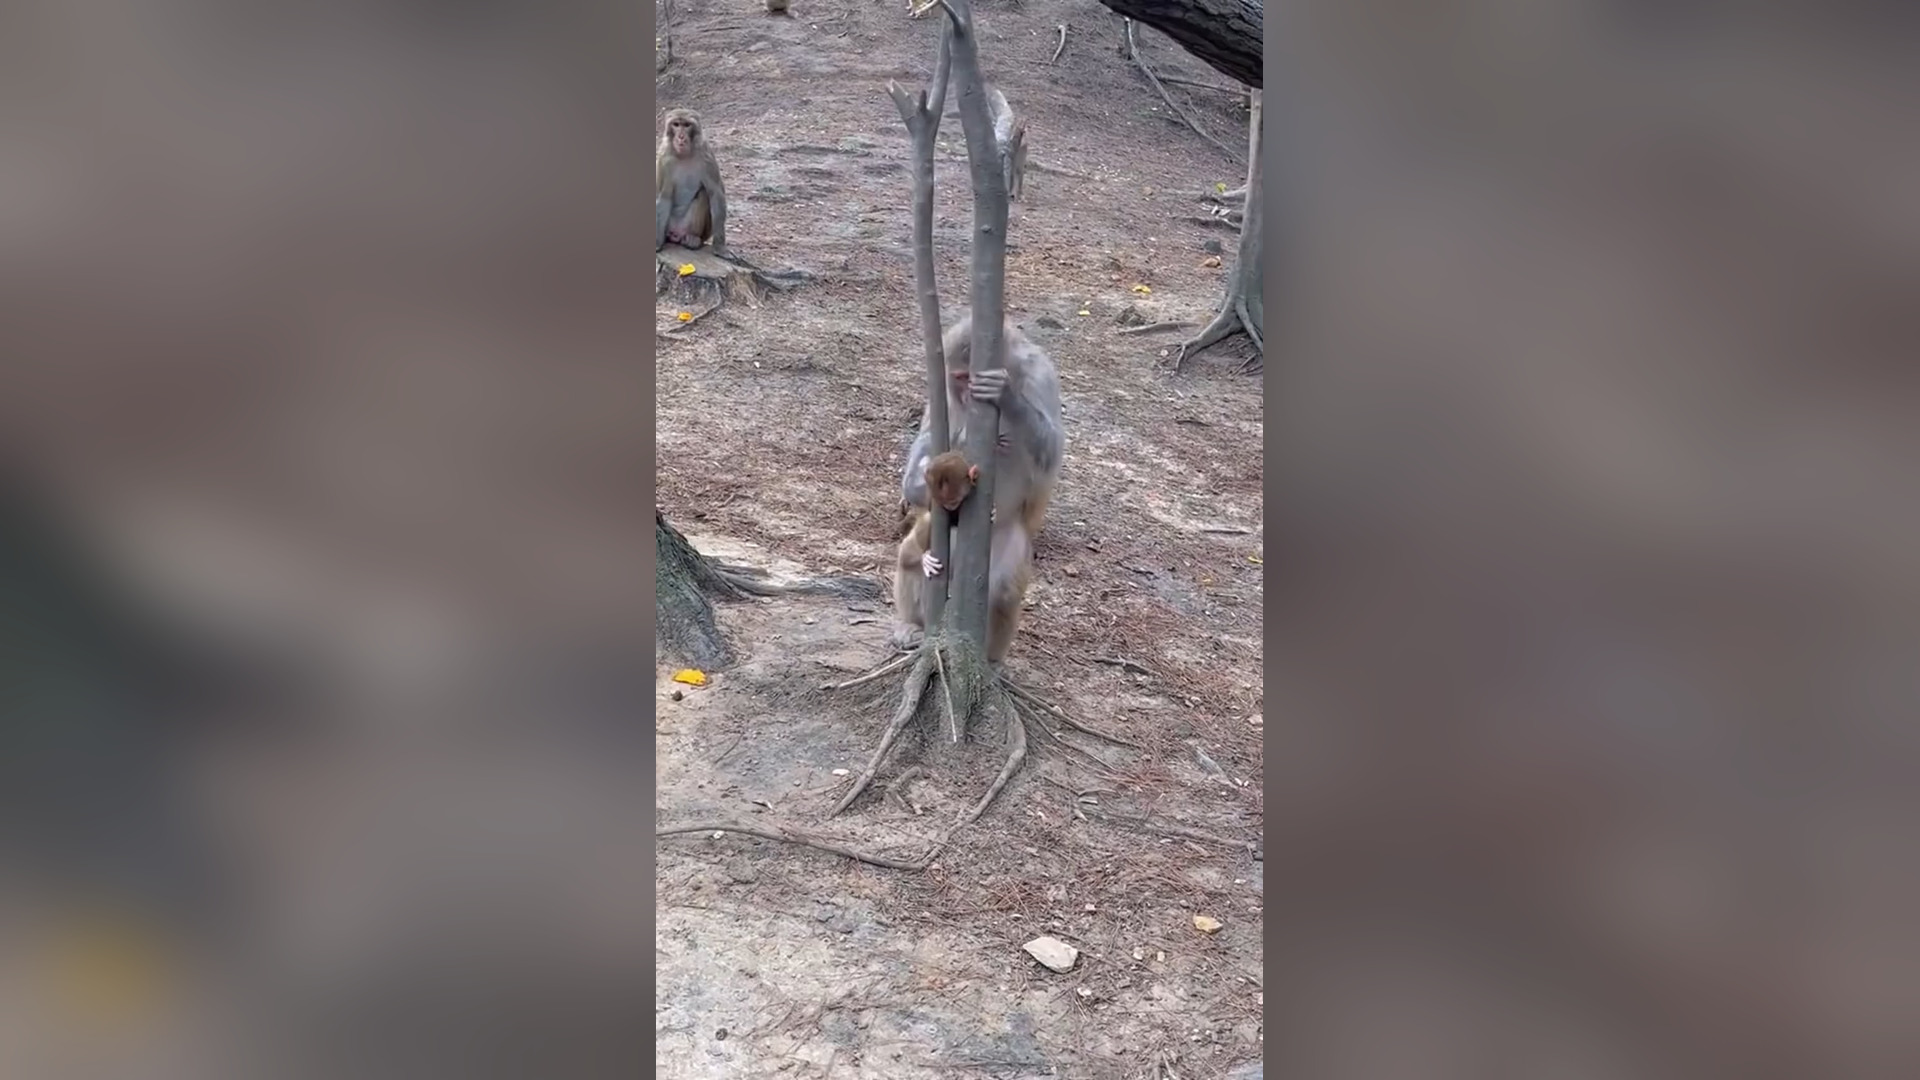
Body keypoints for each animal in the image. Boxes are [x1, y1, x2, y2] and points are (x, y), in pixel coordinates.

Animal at [655, 109, 728, 254]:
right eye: (676, 124)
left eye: (687, 125)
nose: (681, 137)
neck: (683, 154)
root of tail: (676, 233)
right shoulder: (663, 157)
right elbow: (664, 197)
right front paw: (657, 244)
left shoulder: (706, 154)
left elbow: (715, 193)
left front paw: (720, 248)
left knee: (704, 193)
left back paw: (692, 238)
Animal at [890, 314, 1063, 662]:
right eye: (959, 378)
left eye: (972, 379)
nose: (968, 396)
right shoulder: (943, 389)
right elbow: (933, 434)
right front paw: (918, 484)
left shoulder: (1041, 375)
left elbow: (1051, 449)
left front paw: (1006, 395)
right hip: (940, 534)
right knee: (912, 556)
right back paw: (915, 626)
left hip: (1006, 542)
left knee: (1003, 589)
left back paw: (987, 657)